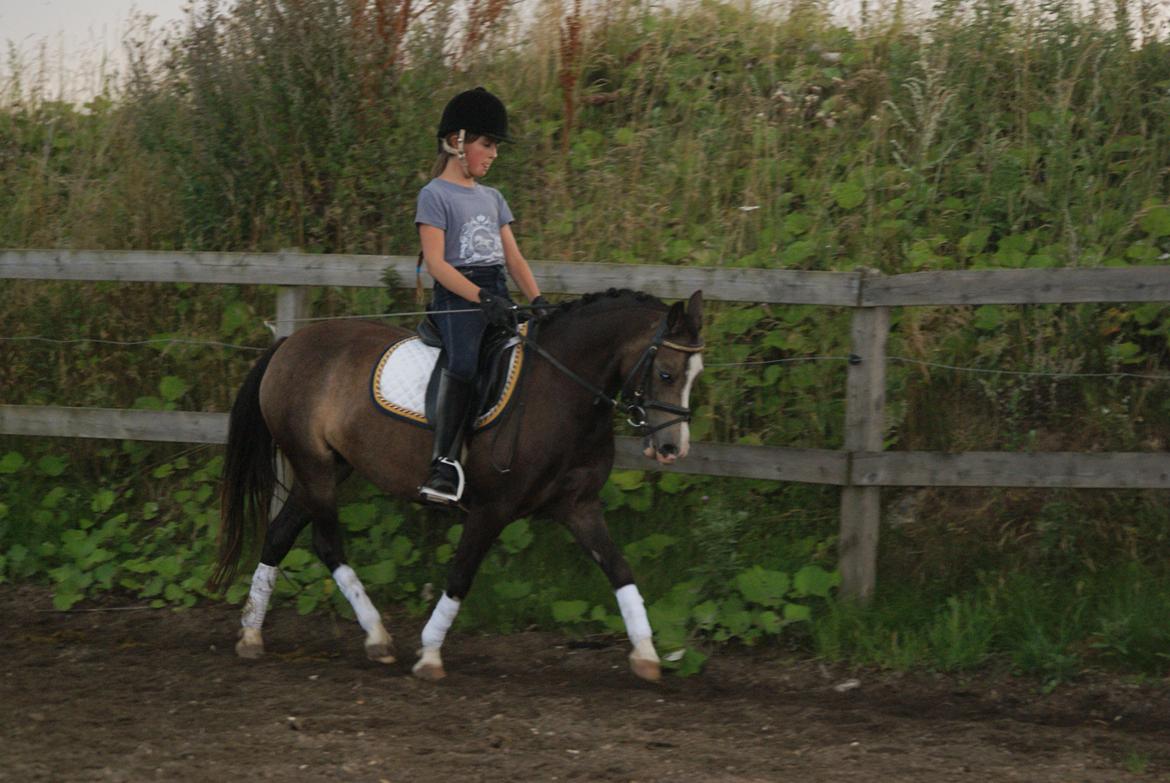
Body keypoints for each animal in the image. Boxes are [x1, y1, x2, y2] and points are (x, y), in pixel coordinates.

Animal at [209, 288, 704, 682]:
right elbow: (462, 574)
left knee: (280, 534)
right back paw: (376, 637)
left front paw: (647, 654)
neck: (562, 391)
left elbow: (620, 570)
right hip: (313, 465)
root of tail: (289, 343)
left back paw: (251, 633)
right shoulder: (491, 509)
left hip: (331, 466)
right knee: (326, 542)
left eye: (695, 374)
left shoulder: (579, 506)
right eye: (665, 373)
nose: (671, 447)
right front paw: (429, 654)